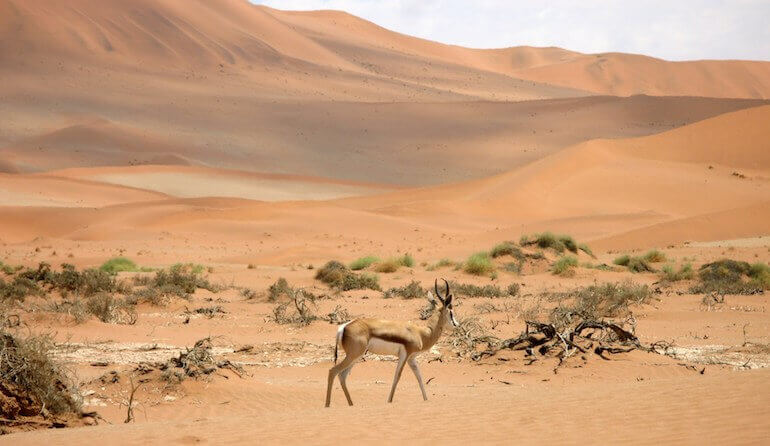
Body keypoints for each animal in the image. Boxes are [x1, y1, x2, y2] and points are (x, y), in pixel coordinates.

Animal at [324, 278, 456, 408]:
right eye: (451, 312)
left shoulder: (411, 358)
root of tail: (344, 327)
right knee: (333, 371)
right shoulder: (404, 355)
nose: (456, 325)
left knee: (342, 375)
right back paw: (327, 405)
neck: (421, 334)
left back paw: (351, 404)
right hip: (353, 356)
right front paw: (390, 401)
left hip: (356, 357)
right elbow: (397, 376)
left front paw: (426, 400)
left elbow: (419, 377)